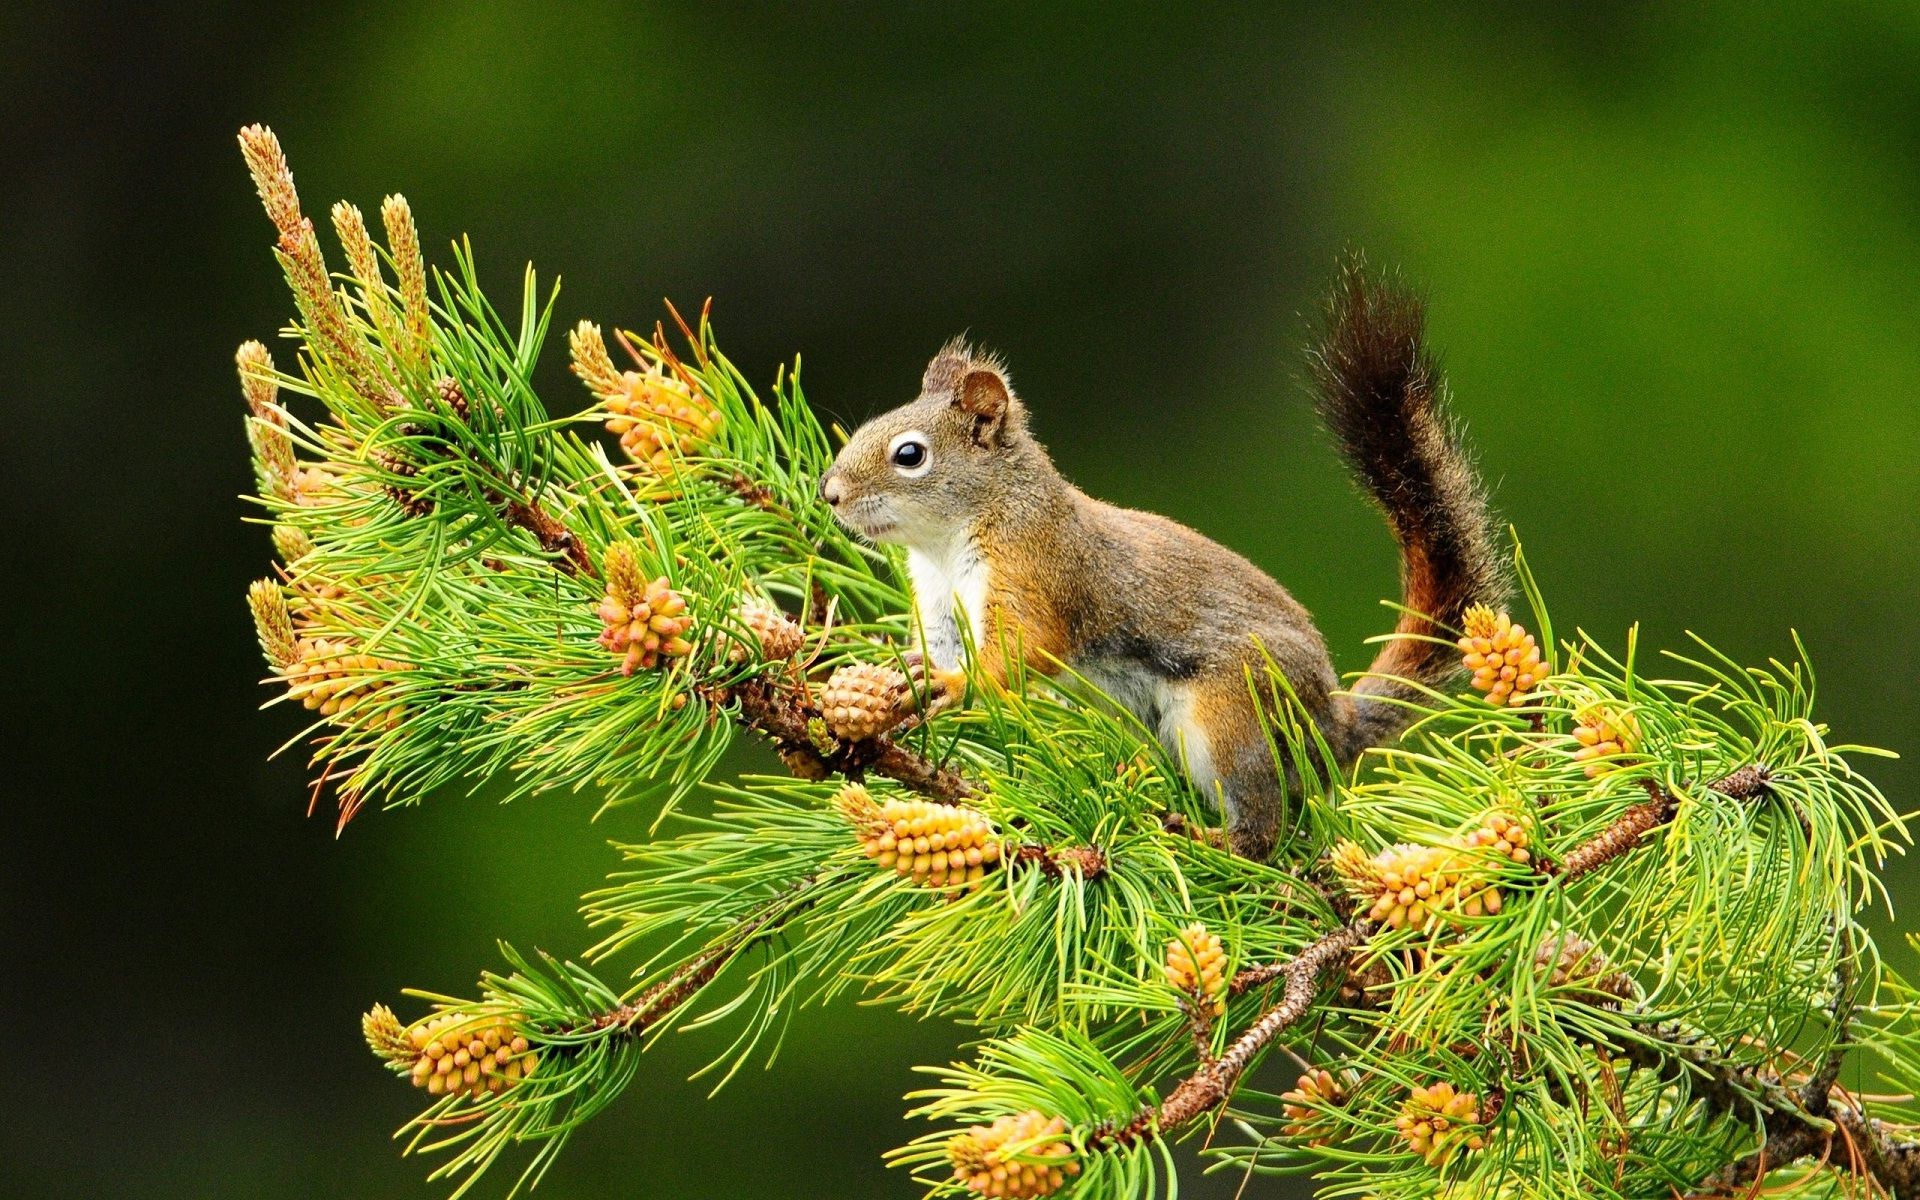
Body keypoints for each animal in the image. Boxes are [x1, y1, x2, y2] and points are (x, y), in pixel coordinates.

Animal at [817, 259, 1506, 860]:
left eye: (910, 454)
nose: (830, 493)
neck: (948, 542)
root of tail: (1331, 724)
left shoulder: (1036, 572)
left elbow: (1021, 650)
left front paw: (957, 684)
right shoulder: (938, 605)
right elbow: (938, 648)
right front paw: (905, 673)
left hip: (1231, 713)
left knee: (1263, 824)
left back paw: (1211, 839)